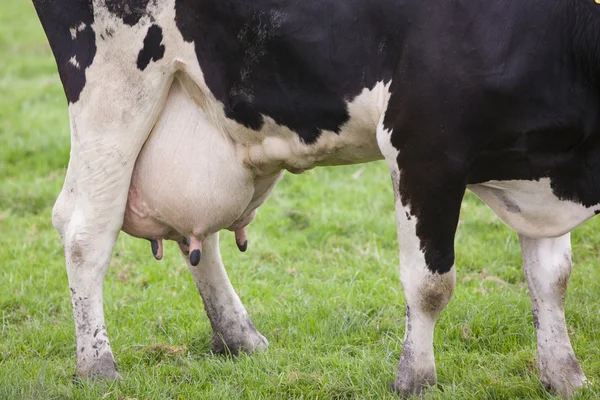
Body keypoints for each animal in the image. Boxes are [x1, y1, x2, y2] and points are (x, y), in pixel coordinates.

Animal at [34, 0, 600, 396]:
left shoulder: (538, 170)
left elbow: (552, 278)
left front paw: (564, 375)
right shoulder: (421, 148)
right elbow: (431, 284)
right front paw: (415, 379)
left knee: (197, 235)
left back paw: (239, 337)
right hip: (113, 85)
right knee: (84, 228)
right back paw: (97, 366)